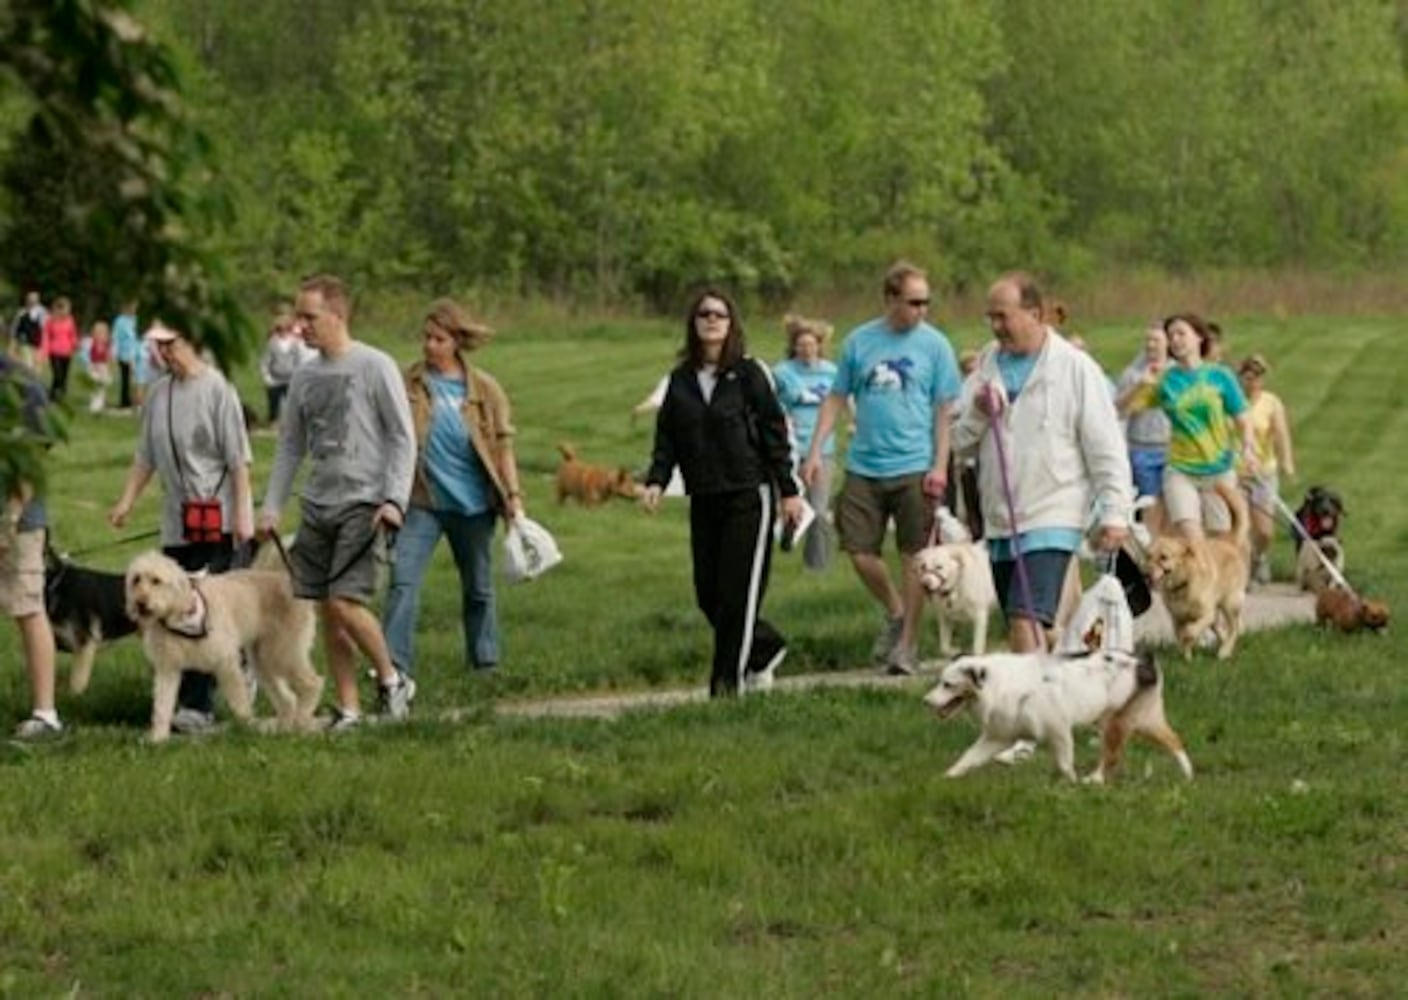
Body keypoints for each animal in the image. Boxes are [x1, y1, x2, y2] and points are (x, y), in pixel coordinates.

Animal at [929, 645, 1193, 788]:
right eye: (940, 681)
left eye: (948, 685)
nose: (926, 701)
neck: (1000, 685)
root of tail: (1141, 659)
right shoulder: (998, 736)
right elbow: (968, 758)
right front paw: (945, 777)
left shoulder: (1059, 730)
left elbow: (1065, 765)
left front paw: (1071, 786)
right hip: (1144, 720)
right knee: (1175, 740)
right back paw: (1188, 775)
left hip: (1116, 721)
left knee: (1111, 756)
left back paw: (1093, 780)